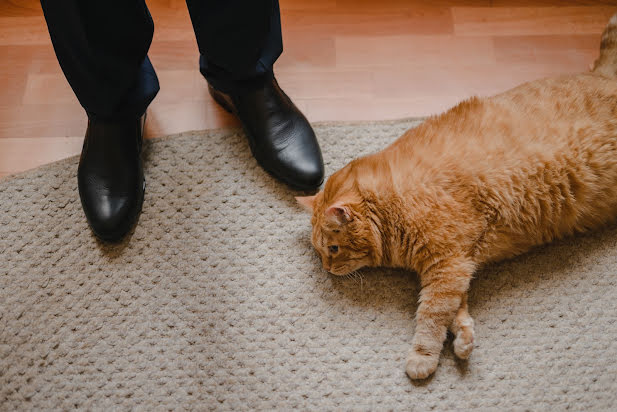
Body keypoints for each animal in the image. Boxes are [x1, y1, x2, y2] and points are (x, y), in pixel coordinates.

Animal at [296, 16, 616, 380]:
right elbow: (454, 309)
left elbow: (432, 315)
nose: (327, 268)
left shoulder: (447, 263)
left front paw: (422, 357)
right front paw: (463, 337)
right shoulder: (458, 264)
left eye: (333, 249)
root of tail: (602, 73)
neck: (393, 204)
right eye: (320, 252)